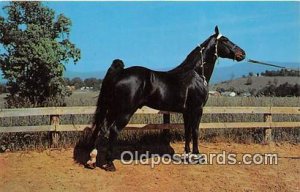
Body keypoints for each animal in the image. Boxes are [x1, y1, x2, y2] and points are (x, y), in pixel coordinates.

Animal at [85, 25, 245, 171]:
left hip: (112, 109)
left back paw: (92, 160)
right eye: (225, 40)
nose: (242, 53)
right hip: (124, 112)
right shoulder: (197, 109)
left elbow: (187, 131)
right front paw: (197, 156)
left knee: (102, 128)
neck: (196, 74)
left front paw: (187, 155)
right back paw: (109, 164)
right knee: (113, 130)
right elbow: (195, 131)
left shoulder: (187, 112)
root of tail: (120, 73)